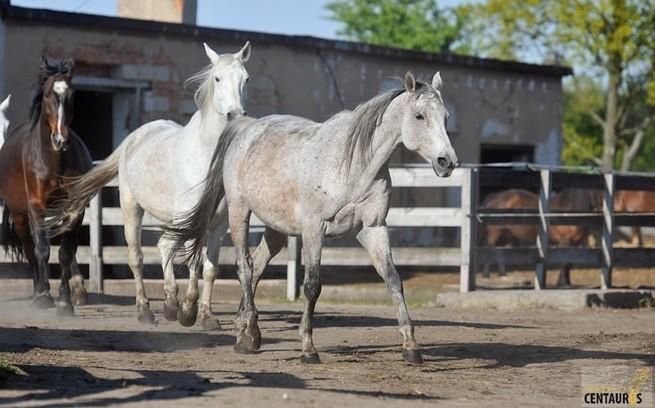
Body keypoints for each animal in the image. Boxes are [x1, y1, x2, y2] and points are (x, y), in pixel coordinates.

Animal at [0, 56, 92, 312]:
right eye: (48, 94)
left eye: (72, 94)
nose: (61, 139)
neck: (53, 160)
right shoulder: (36, 208)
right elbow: (41, 250)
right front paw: (44, 296)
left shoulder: (75, 211)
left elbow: (66, 253)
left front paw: (65, 300)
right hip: (20, 216)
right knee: (31, 252)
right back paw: (38, 292)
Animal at [46, 41, 251, 328]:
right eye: (218, 78)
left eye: (246, 79)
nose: (235, 114)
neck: (206, 156)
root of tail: (134, 137)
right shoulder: (193, 222)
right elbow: (194, 263)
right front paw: (189, 311)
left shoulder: (218, 225)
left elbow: (210, 269)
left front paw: (205, 316)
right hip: (132, 209)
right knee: (138, 257)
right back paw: (146, 310)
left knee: (164, 246)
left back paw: (170, 304)